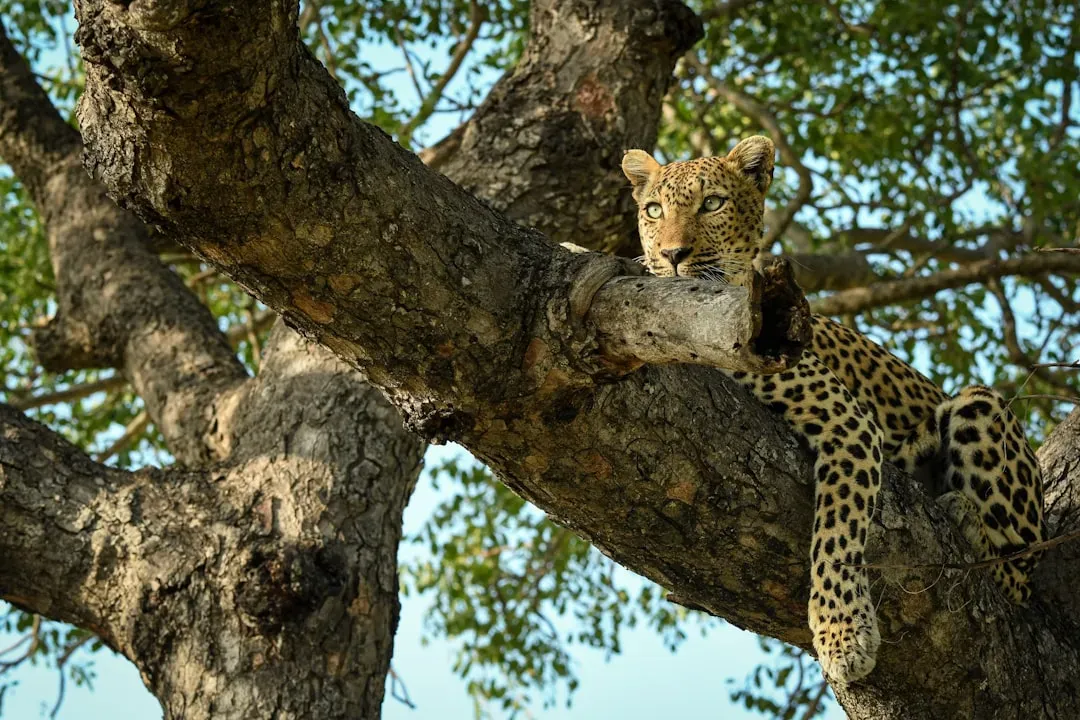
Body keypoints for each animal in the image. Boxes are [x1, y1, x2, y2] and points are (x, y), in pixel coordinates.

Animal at [617, 136, 1046, 685]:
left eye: (712, 203)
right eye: (653, 210)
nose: (672, 255)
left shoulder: (849, 423)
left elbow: (837, 535)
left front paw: (843, 635)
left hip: (981, 406)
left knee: (1017, 575)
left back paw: (964, 514)